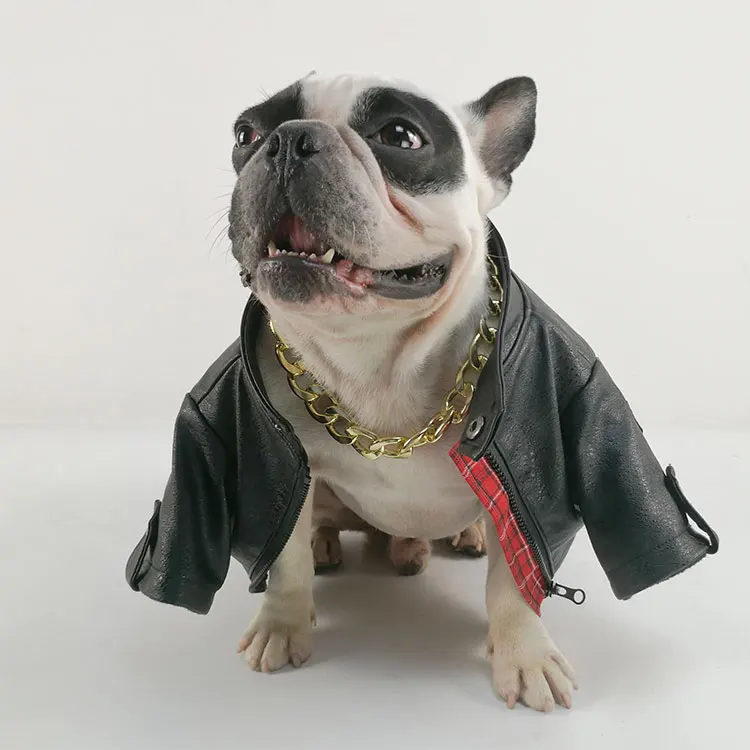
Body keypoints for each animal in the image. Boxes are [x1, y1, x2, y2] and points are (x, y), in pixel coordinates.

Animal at [227, 72, 577, 712]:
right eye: (246, 134)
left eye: (399, 136)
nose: (288, 140)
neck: (376, 357)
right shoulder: (287, 468)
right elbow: (285, 559)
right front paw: (281, 626)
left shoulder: (520, 477)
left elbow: (514, 582)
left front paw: (525, 657)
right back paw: (333, 544)